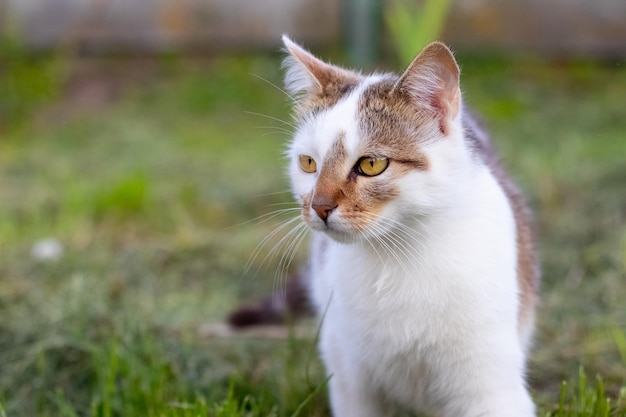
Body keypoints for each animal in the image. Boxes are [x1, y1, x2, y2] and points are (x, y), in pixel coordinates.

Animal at [229, 36, 536, 416]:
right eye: (308, 163)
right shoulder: (350, 377)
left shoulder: (489, 383)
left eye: (372, 164)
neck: (399, 258)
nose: (319, 206)